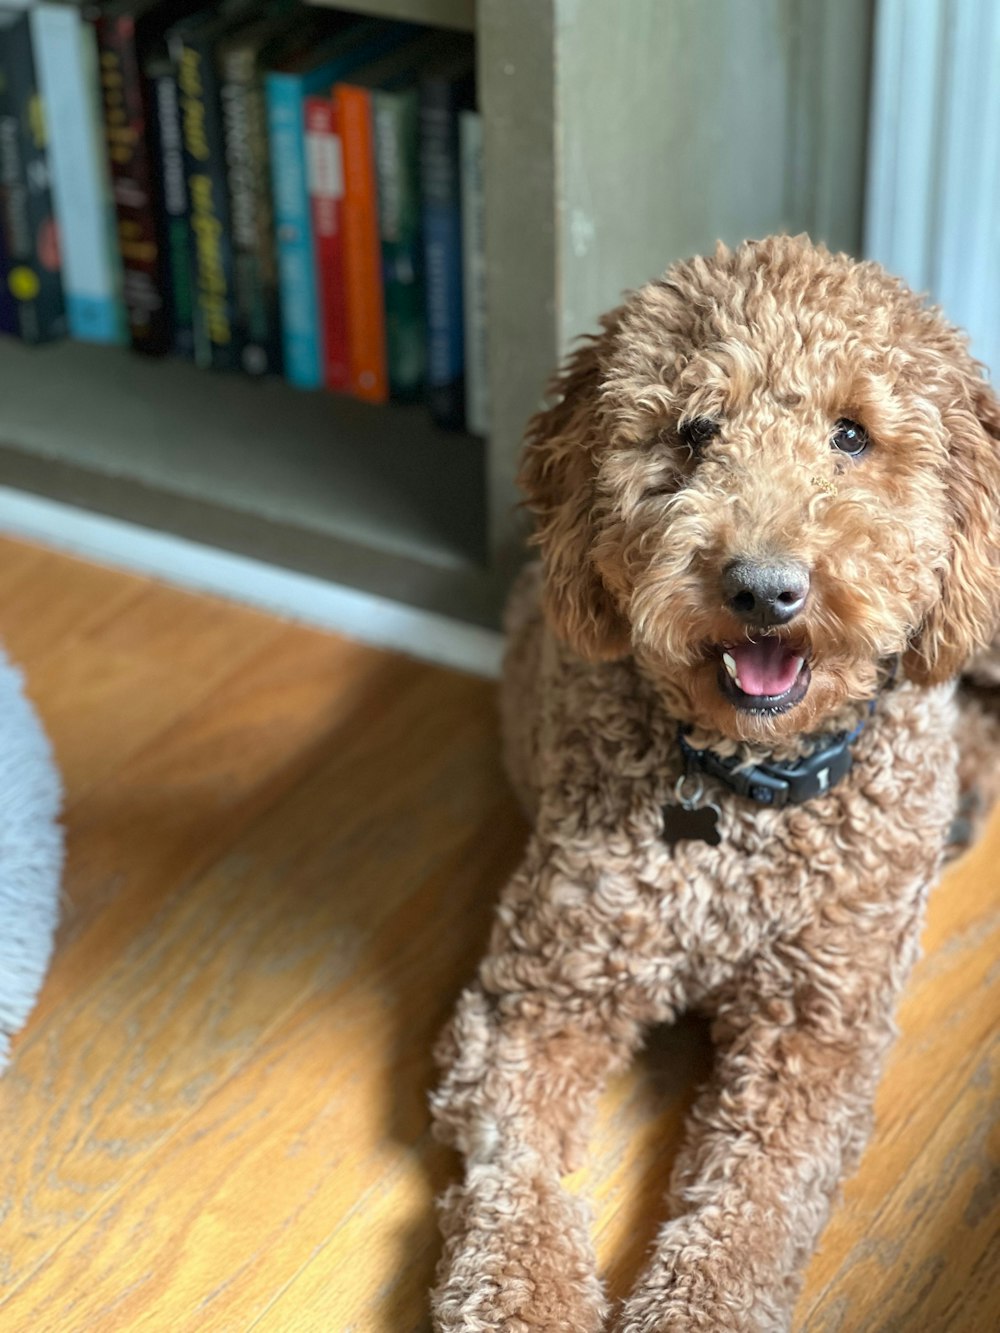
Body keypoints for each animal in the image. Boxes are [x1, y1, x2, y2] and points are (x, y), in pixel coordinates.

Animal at [432, 234, 1000, 1327]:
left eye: (852, 436)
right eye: (695, 432)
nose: (764, 589)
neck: (743, 789)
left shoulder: (819, 1030)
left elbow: (751, 1206)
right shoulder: (542, 996)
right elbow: (515, 1170)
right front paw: (528, 1295)